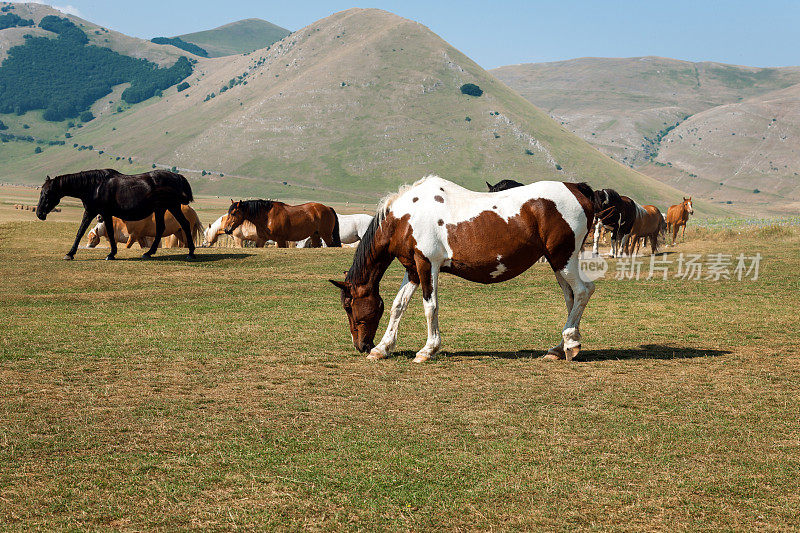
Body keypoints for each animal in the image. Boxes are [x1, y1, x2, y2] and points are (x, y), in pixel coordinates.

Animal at [36, 168, 197, 260]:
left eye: (47, 193)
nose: (39, 213)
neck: (95, 186)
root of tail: (177, 177)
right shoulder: (91, 212)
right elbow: (80, 231)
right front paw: (70, 253)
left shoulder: (103, 213)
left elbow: (102, 232)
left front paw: (111, 254)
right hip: (161, 209)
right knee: (160, 229)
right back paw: (149, 253)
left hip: (173, 207)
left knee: (184, 224)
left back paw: (190, 253)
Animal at [332, 177, 600, 364]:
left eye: (348, 306)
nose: (361, 346)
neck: (406, 217)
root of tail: (576, 188)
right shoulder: (413, 269)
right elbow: (399, 305)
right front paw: (383, 348)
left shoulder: (427, 264)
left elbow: (430, 307)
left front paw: (428, 350)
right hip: (558, 263)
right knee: (571, 297)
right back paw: (560, 348)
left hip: (564, 260)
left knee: (584, 291)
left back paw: (570, 343)